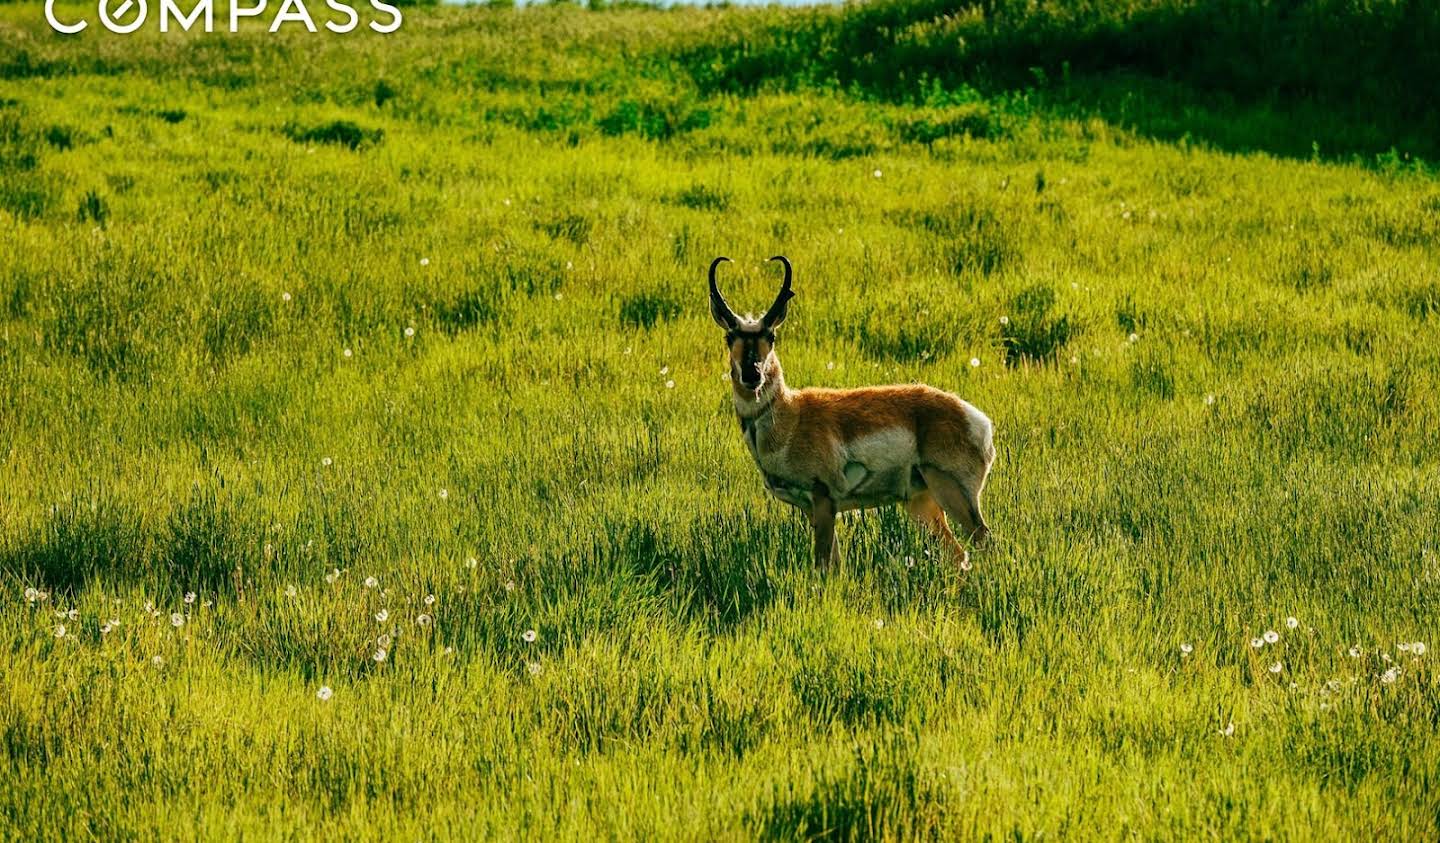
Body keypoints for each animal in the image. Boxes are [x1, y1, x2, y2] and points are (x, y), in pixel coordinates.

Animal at [711, 249, 1002, 564]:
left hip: (952, 493)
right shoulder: (813, 508)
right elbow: (835, 563)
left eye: (771, 336)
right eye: (729, 337)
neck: (792, 416)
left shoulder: (823, 498)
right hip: (922, 504)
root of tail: (977, 420)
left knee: (985, 540)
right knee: (959, 555)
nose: (752, 374)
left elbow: (823, 564)